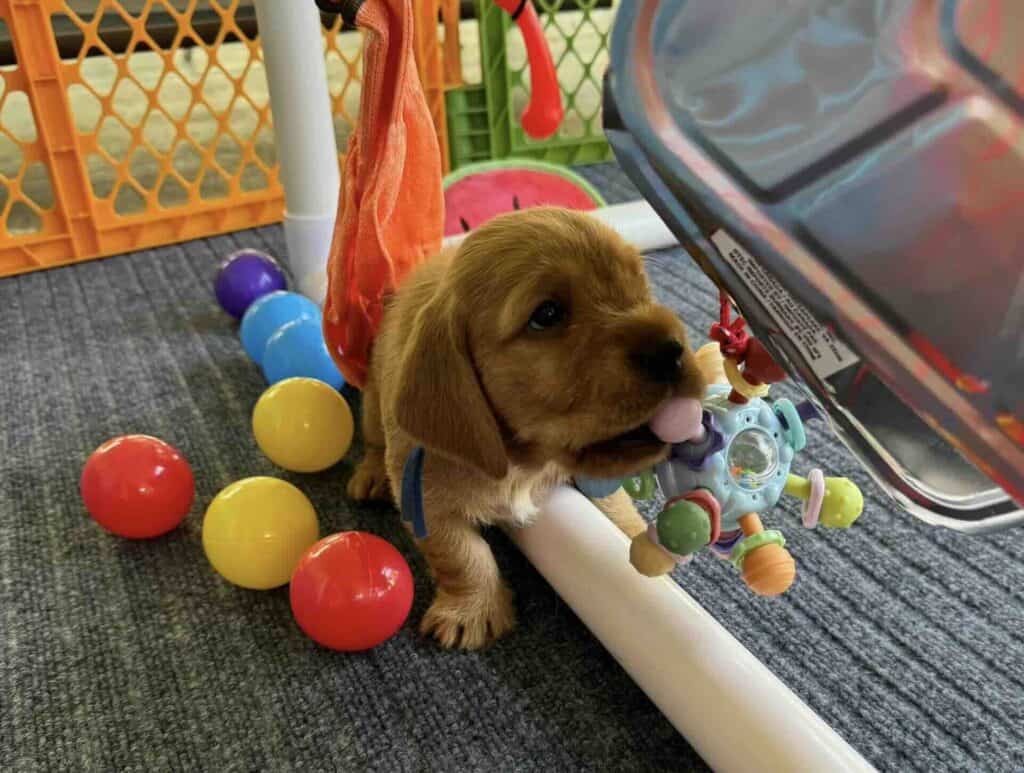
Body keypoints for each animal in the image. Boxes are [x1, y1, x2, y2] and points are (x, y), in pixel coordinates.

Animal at [344, 205, 712, 647]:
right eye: (547, 315)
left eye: (639, 287)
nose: (672, 350)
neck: (522, 459)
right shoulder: (424, 496)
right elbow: (461, 553)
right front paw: (471, 610)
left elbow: (613, 505)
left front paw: (633, 536)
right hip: (373, 401)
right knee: (372, 440)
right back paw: (369, 476)